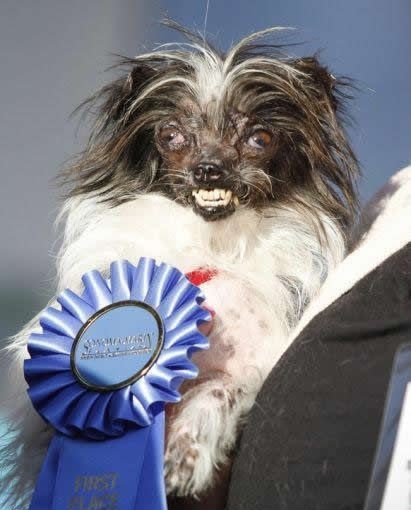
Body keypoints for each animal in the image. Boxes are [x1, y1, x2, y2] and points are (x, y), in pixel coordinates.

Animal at [1, 22, 358, 508]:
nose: (209, 170)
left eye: (259, 138)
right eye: (171, 135)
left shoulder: (248, 369)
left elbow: (217, 391)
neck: (207, 246)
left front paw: (187, 452)